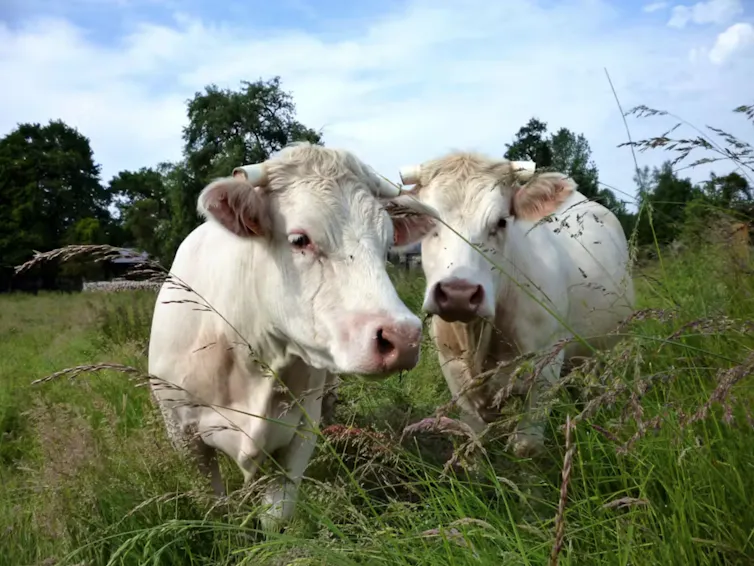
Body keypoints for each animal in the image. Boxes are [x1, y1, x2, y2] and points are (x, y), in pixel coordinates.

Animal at [147, 142, 433, 531]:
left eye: (388, 245)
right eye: (300, 239)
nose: (403, 336)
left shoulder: (300, 428)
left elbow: (276, 516)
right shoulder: (181, 430)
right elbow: (215, 509)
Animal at [392, 151, 635, 457]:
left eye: (501, 222)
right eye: (426, 221)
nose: (458, 293)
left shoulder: (547, 360)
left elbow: (526, 446)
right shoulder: (452, 366)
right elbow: (475, 438)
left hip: (611, 346)